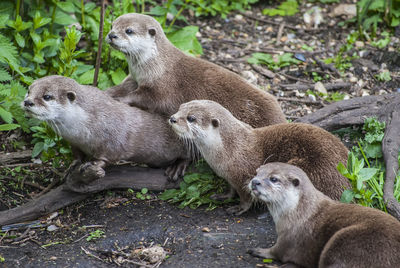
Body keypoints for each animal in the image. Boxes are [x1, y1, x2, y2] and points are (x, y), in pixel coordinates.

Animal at [22, 75, 191, 182]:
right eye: (29, 90)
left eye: (47, 96)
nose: (28, 102)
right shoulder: (74, 142)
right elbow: (77, 155)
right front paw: (73, 165)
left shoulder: (112, 138)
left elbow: (108, 156)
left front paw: (93, 164)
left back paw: (177, 167)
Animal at [104, 13, 286, 128]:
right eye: (112, 25)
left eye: (129, 31)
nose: (112, 35)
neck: (156, 64)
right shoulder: (135, 77)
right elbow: (125, 85)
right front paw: (110, 92)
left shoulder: (163, 86)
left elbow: (148, 98)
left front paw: (121, 99)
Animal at [169, 99, 350, 215]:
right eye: (180, 107)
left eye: (191, 118)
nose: (172, 118)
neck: (229, 149)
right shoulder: (230, 177)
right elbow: (231, 189)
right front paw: (223, 196)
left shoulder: (242, 175)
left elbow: (246, 197)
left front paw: (238, 208)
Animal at [248, 162, 400, 266]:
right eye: (256, 173)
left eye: (273, 179)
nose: (255, 182)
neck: (299, 212)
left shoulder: (289, 237)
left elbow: (277, 252)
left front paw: (259, 250)